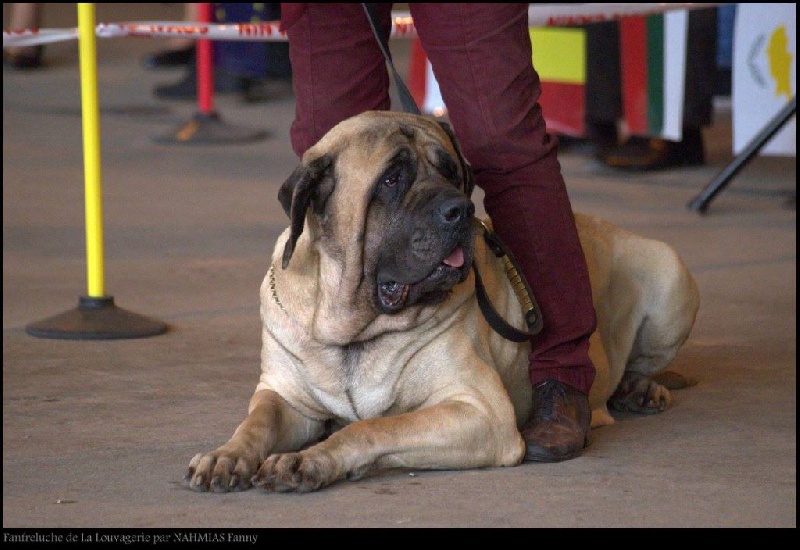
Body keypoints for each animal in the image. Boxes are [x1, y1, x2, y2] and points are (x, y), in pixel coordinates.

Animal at [185, 111, 700, 493]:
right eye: (391, 180)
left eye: (452, 171)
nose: (461, 209)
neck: (354, 326)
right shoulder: (286, 398)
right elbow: (257, 422)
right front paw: (225, 455)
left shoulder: (479, 411)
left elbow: (374, 427)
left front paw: (308, 461)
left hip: (670, 273)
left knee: (643, 361)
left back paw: (640, 388)